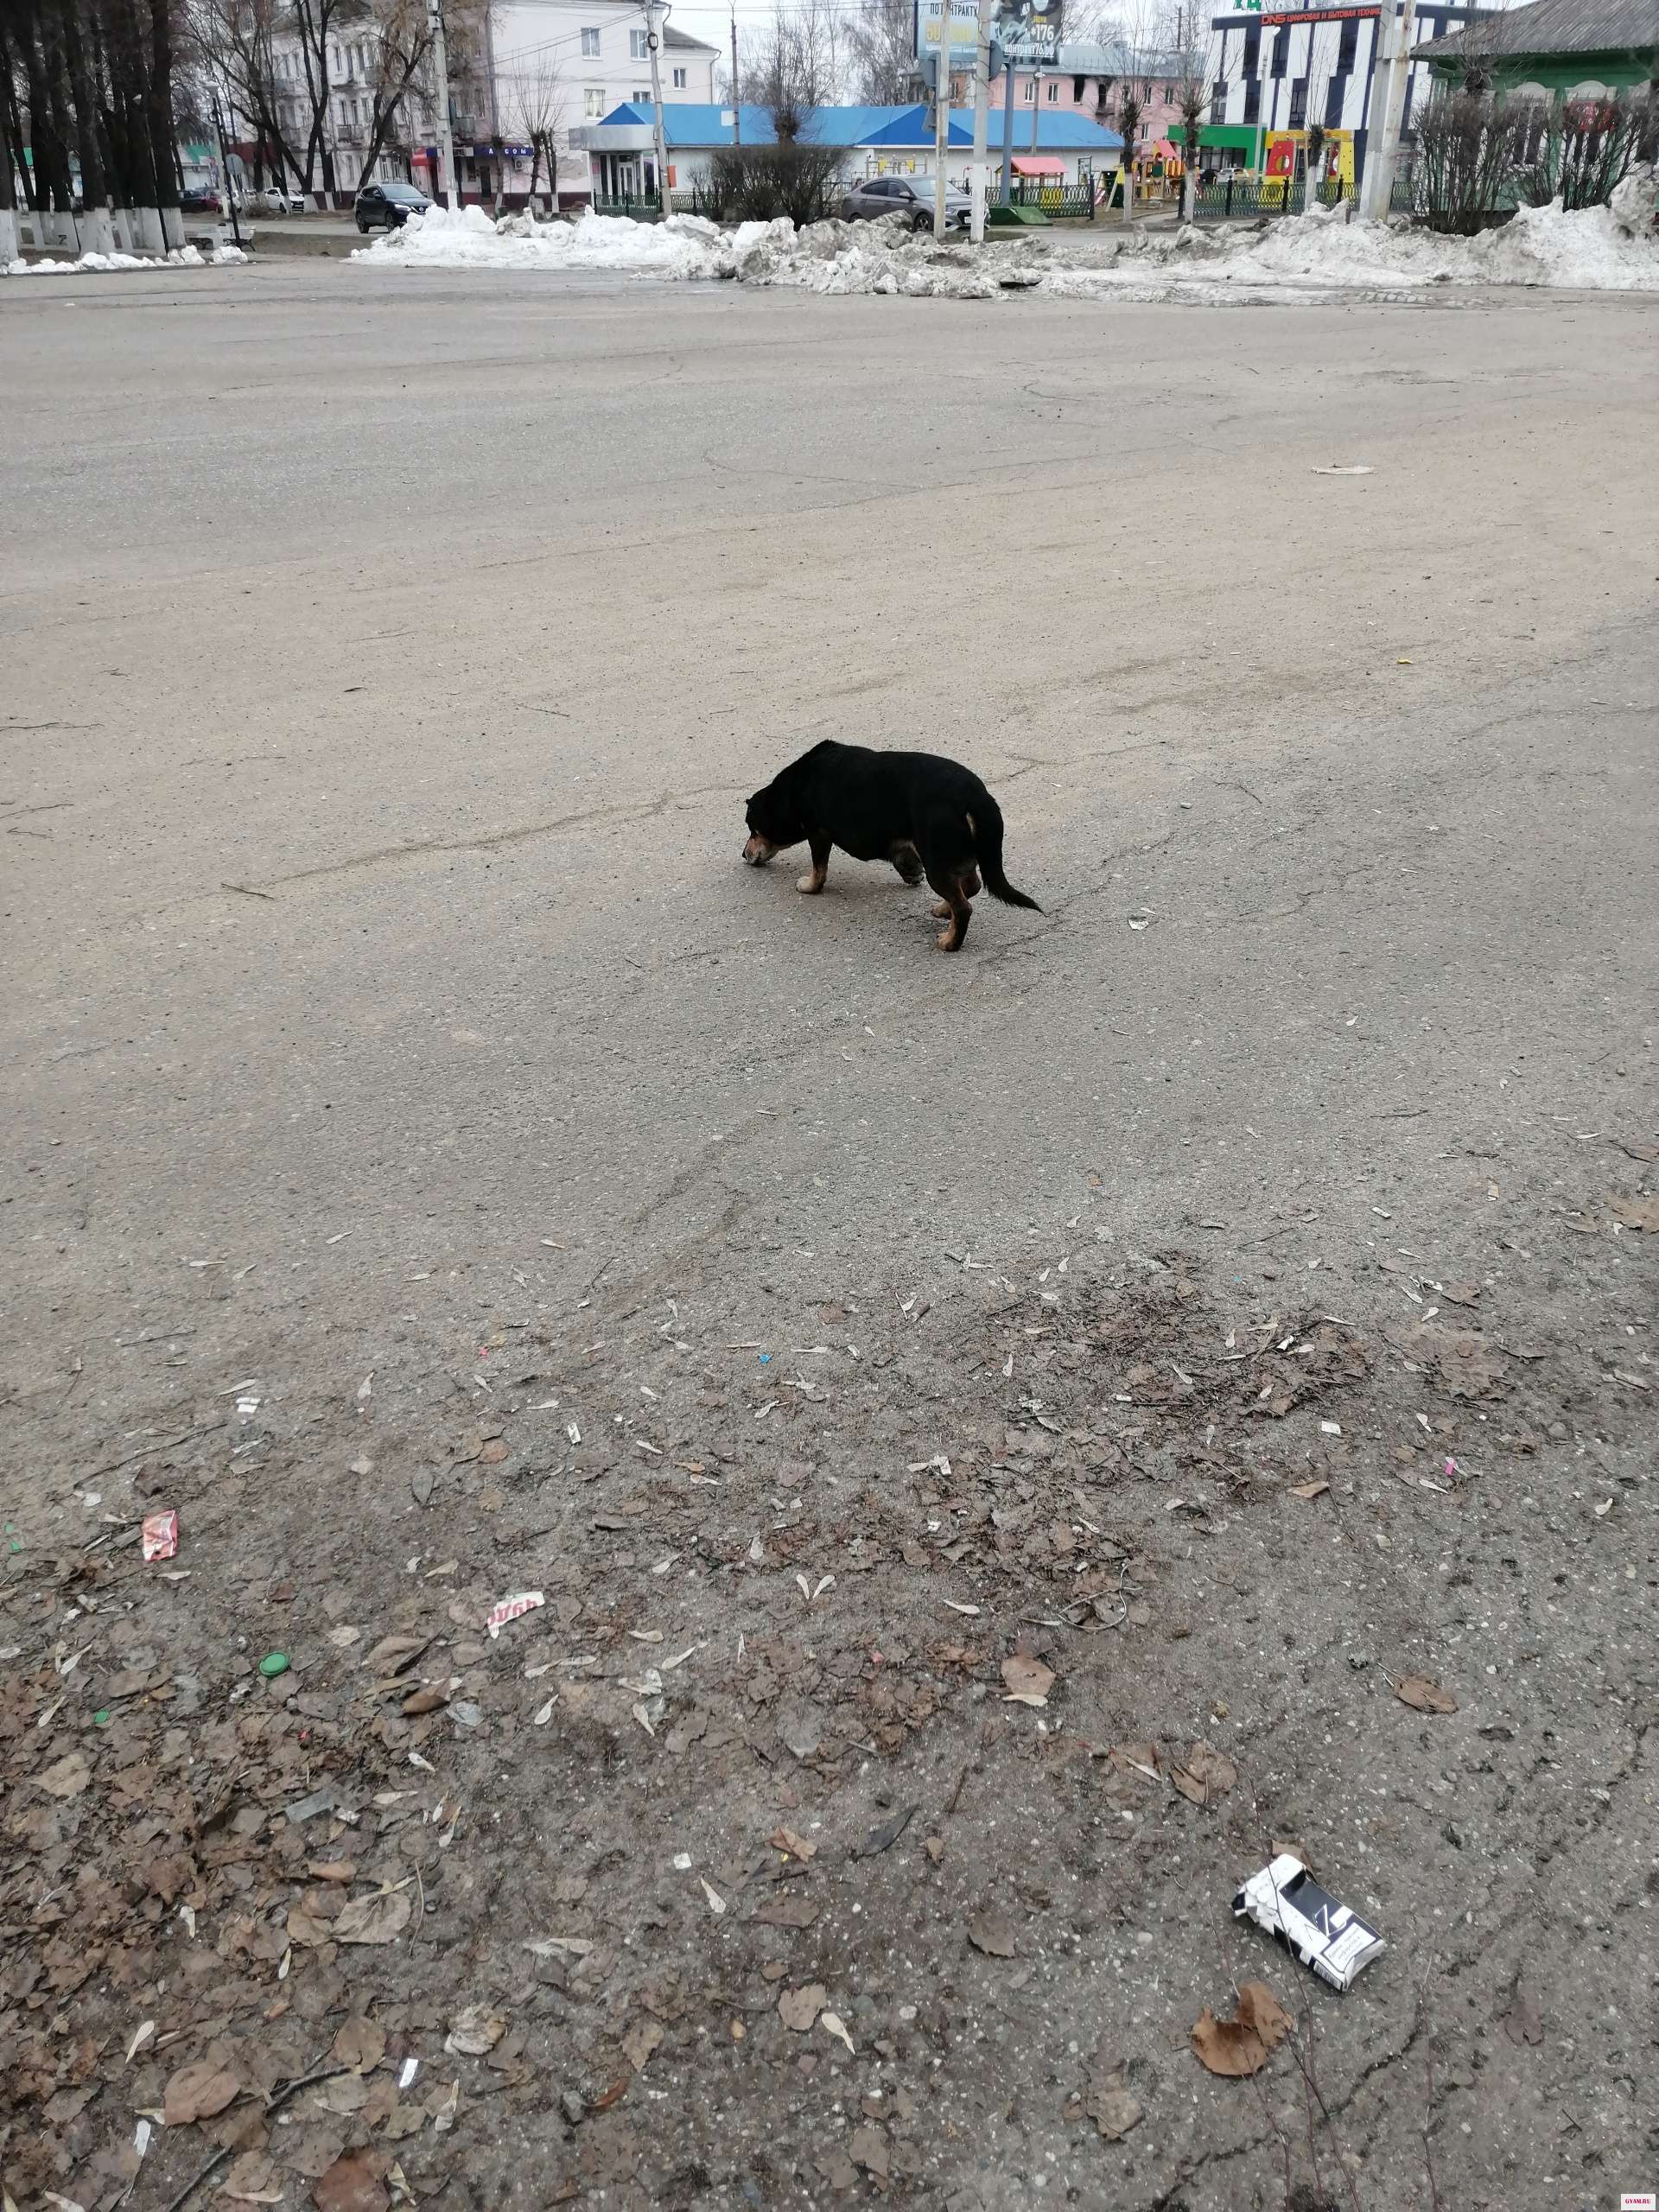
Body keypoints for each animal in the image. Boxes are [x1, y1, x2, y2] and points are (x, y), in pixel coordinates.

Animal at [742, 741, 1041, 951]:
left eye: (753, 829)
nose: (744, 854)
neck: (797, 784)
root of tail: (977, 797)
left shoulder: (818, 833)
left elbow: (819, 869)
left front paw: (809, 886)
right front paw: (909, 871)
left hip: (936, 860)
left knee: (964, 906)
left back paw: (950, 942)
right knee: (970, 887)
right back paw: (944, 910)